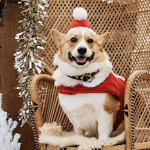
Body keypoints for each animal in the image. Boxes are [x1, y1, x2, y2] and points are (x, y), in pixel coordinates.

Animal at [51, 7, 125, 141]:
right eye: (73, 39)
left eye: (90, 40)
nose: (82, 50)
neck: (80, 80)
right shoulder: (75, 119)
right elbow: (79, 134)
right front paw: (80, 140)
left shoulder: (104, 113)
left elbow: (103, 134)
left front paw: (101, 142)